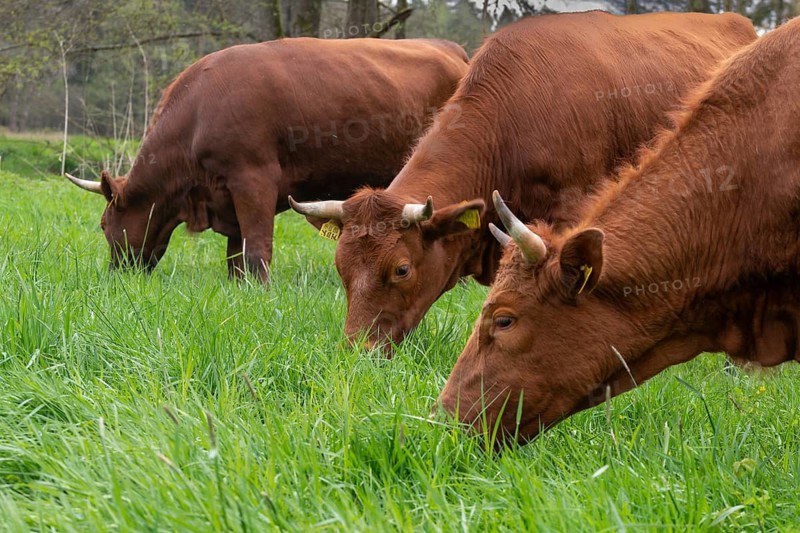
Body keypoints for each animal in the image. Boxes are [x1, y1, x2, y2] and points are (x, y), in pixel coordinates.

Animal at [64, 38, 469, 282]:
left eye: (103, 224)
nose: (115, 276)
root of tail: (451, 49)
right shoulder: (227, 196)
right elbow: (235, 253)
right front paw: (235, 287)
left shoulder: (253, 180)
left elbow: (257, 248)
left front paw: (257, 292)